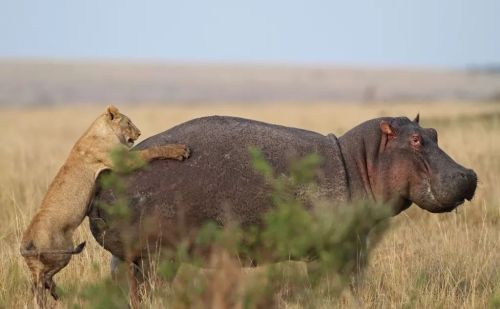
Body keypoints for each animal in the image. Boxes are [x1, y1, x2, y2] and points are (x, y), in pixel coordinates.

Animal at [21, 104, 189, 304]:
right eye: (129, 122)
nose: (139, 133)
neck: (101, 130)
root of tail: (25, 241)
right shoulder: (123, 160)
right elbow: (151, 151)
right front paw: (179, 150)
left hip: (44, 261)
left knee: (37, 284)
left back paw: (53, 293)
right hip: (62, 252)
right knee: (44, 277)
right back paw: (54, 291)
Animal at [89, 114, 476, 274]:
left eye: (434, 132)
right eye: (415, 140)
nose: (469, 174)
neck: (362, 161)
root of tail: (104, 178)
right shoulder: (332, 251)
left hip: (127, 258)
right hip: (157, 256)